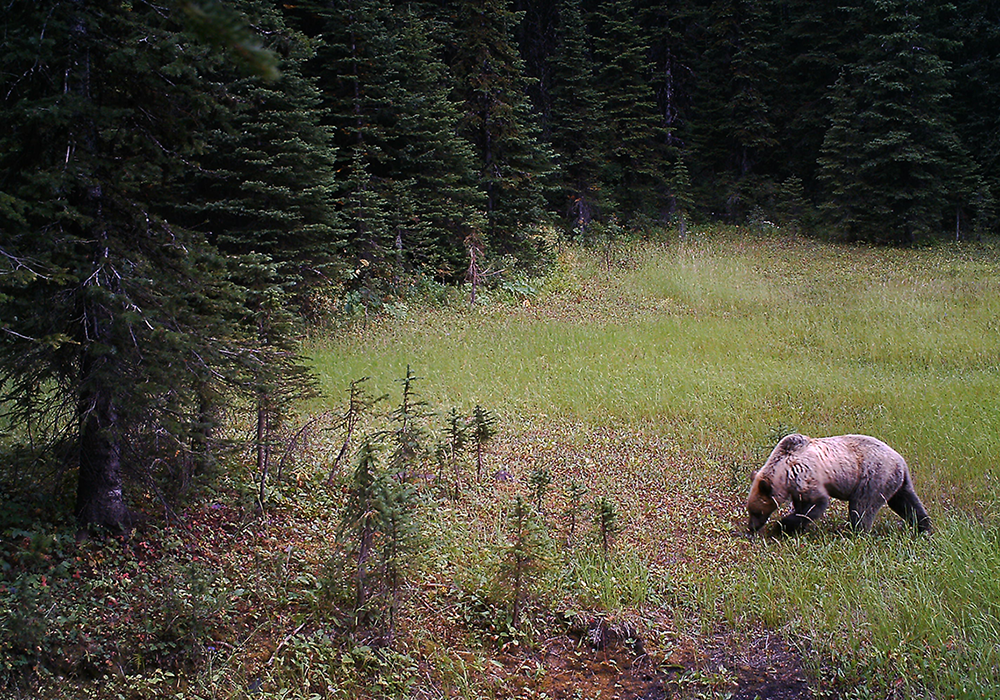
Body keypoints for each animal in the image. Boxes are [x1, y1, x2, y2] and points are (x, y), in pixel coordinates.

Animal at [747, 433, 932, 534]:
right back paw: (924, 527)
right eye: (750, 511)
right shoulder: (796, 486)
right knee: (906, 503)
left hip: (873, 477)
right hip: (896, 482)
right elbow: (802, 505)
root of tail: (901, 461)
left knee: (862, 507)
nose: (751, 527)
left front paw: (782, 526)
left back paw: (856, 532)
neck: (784, 471)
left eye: (756, 512)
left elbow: (816, 504)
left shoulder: (805, 474)